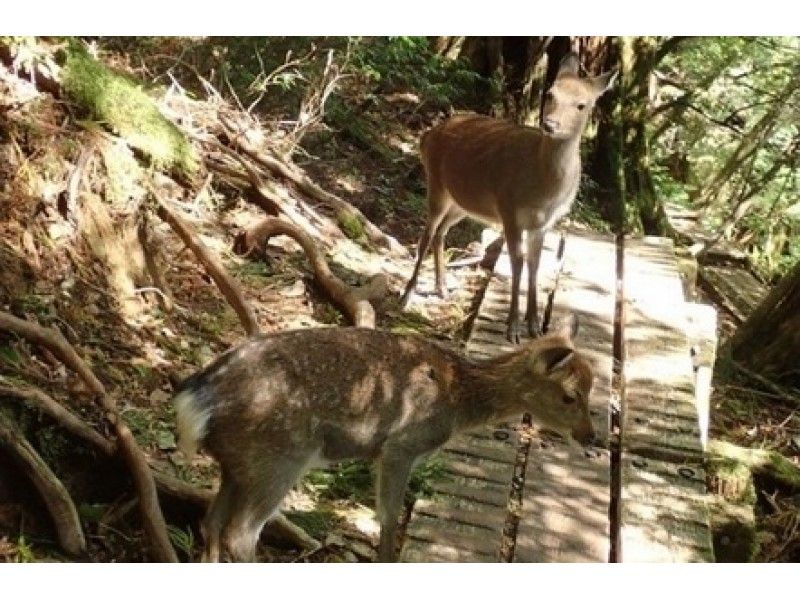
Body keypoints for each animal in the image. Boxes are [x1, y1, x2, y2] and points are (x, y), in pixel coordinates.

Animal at [174, 320, 594, 562]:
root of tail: (195, 401)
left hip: (239, 462)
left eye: (592, 386)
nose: (591, 436)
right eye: (569, 396)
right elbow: (389, 517)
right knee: (240, 534)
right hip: (278, 457)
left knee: (211, 522)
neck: (460, 398)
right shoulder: (401, 446)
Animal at [400, 52, 617, 343]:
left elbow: (535, 265)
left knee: (441, 232)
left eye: (582, 105)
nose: (550, 124)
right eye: (550, 93)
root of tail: (426, 135)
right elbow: (518, 262)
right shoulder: (508, 208)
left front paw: (534, 325)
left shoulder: (544, 224)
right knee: (426, 235)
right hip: (436, 183)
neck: (544, 192)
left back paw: (442, 288)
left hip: (463, 203)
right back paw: (406, 297)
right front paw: (513, 328)